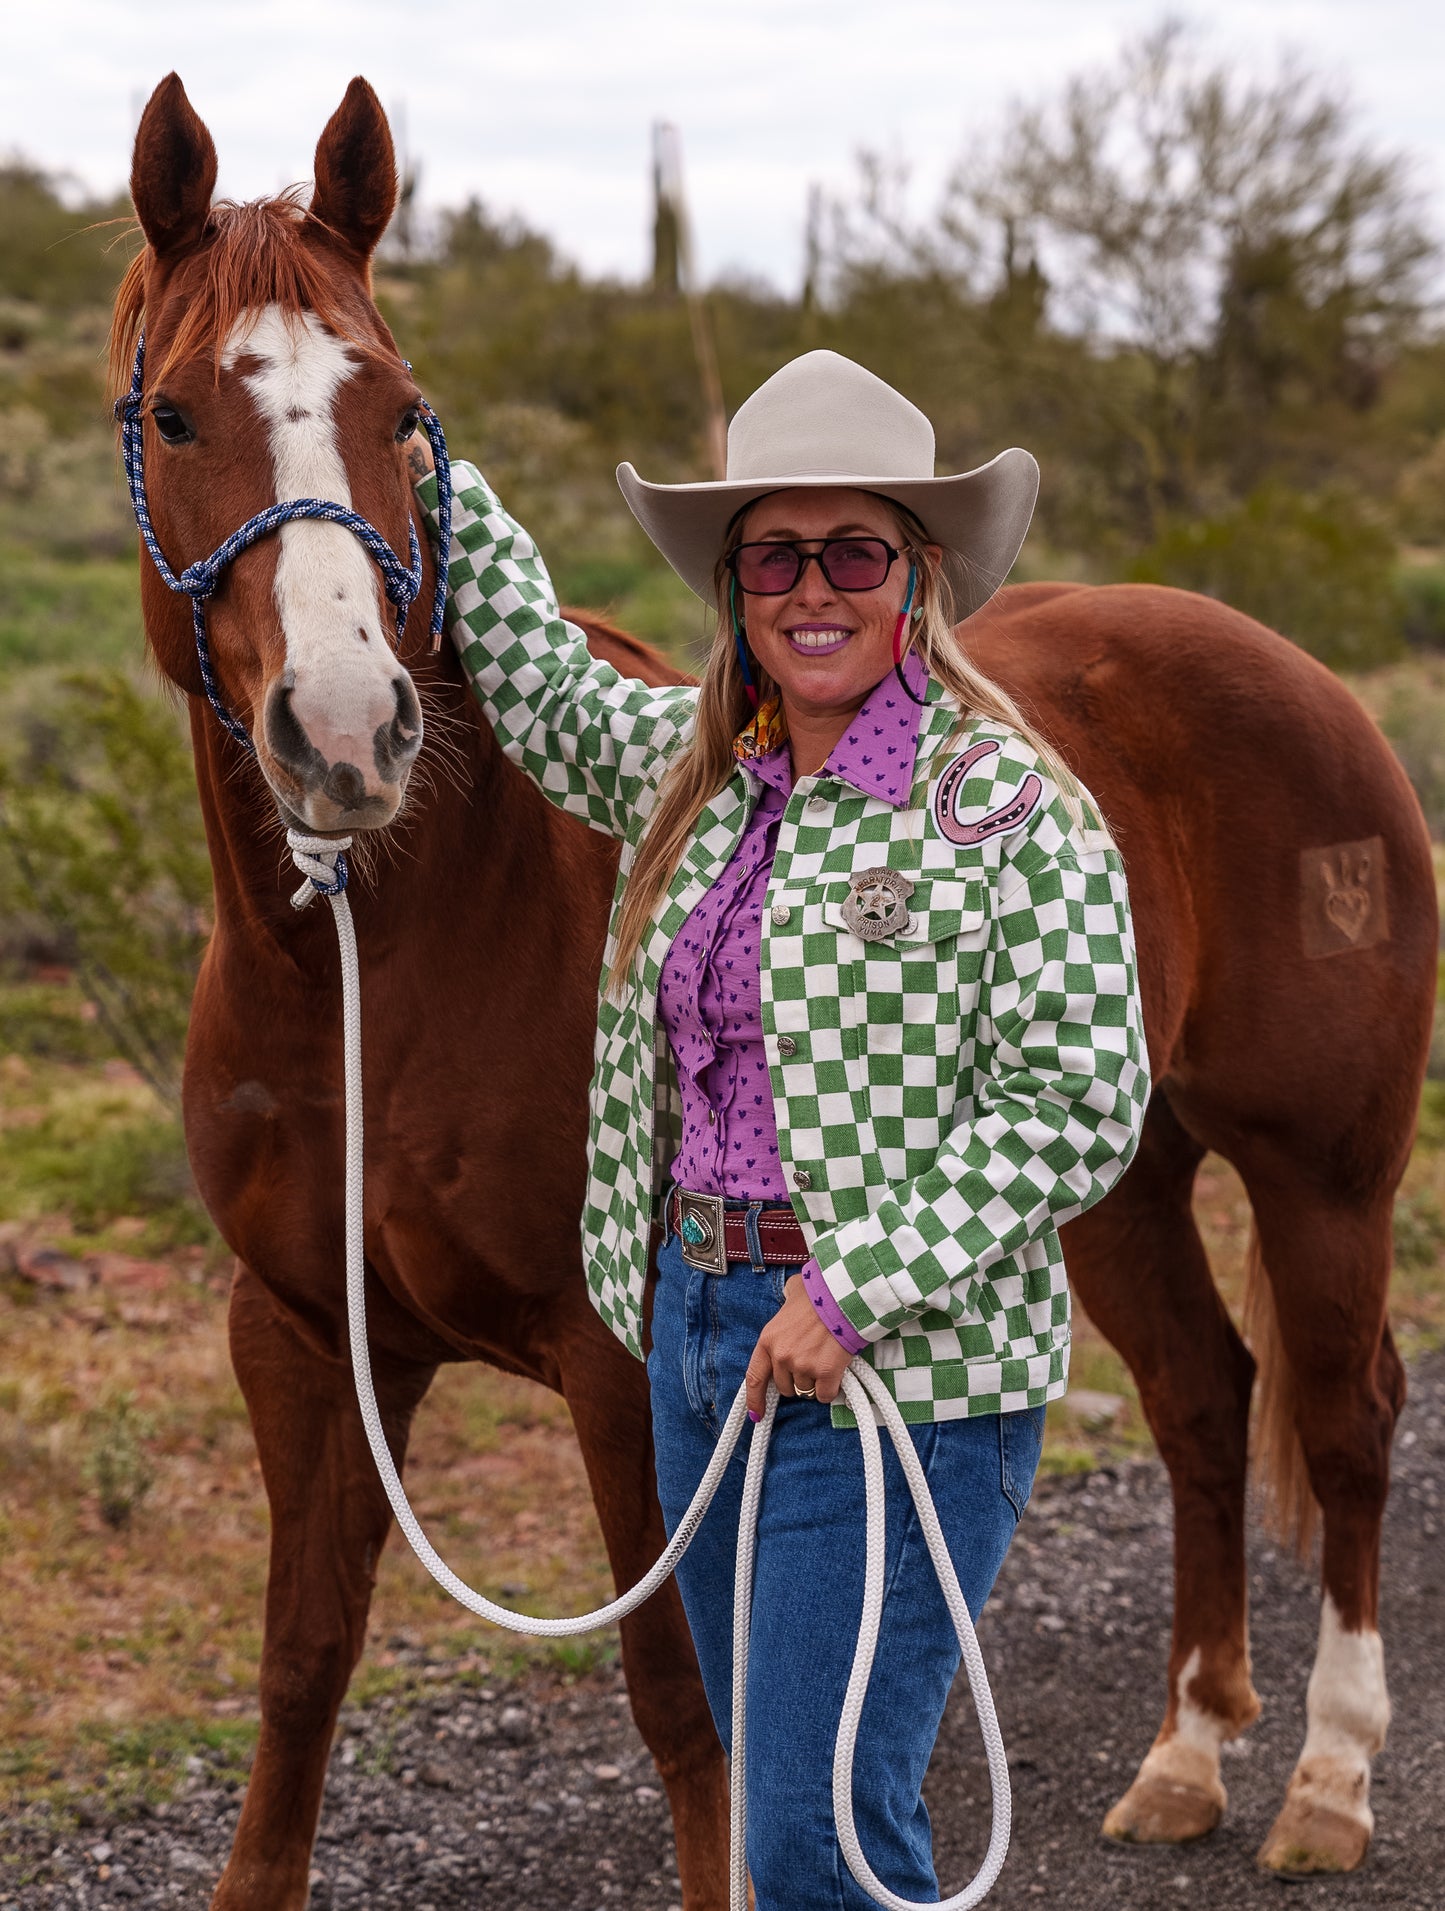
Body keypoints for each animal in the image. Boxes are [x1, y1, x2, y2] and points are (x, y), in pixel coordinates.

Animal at [115, 70, 1437, 1895]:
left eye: (401, 409)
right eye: (176, 416)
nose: (347, 731)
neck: (382, 972)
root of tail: (1297, 672)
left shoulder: (618, 1368)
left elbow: (687, 1705)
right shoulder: (304, 1343)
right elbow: (302, 1675)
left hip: (1322, 1170)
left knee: (1348, 1414)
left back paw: (1328, 1777)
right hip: (1122, 1183)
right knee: (1200, 1395)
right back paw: (1184, 1755)